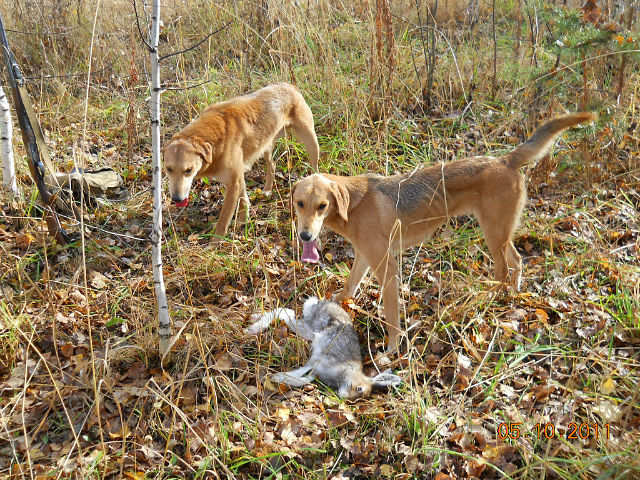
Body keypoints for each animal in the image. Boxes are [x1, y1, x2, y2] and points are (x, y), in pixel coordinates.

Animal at [165, 84, 320, 238]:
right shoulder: (237, 177)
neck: (214, 139)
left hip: (310, 141)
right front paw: (243, 221)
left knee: (315, 166)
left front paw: (216, 241)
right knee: (272, 165)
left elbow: (223, 221)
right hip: (265, 145)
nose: (176, 199)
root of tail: (288, 86)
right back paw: (267, 190)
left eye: (188, 170)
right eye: (168, 169)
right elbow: (244, 200)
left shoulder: (234, 183)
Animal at [292, 111, 596, 352]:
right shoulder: (365, 257)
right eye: (300, 204)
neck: (354, 205)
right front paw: (333, 305)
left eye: (322, 206)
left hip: (493, 233)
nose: (305, 237)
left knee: (502, 270)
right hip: (501, 232)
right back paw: (513, 293)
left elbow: (392, 317)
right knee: (517, 261)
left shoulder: (387, 268)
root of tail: (504, 161)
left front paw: (392, 349)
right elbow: (348, 287)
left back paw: (491, 298)